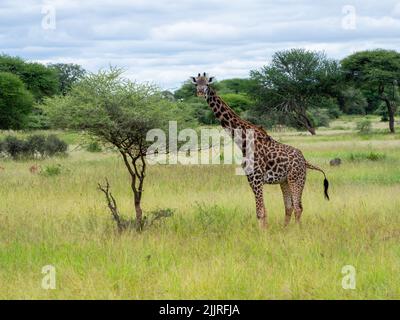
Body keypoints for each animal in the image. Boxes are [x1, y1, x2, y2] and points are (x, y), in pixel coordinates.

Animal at [190, 72, 328, 228]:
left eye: (207, 83)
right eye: (196, 83)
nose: (200, 92)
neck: (242, 140)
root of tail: (305, 160)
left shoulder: (255, 178)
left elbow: (260, 211)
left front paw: (262, 232)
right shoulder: (251, 178)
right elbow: (264, 210)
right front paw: (265, 230)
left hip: (296, 178)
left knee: (298, 207)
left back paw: (296, 230)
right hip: (285, 181)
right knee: (289, 206)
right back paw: (285, 229)